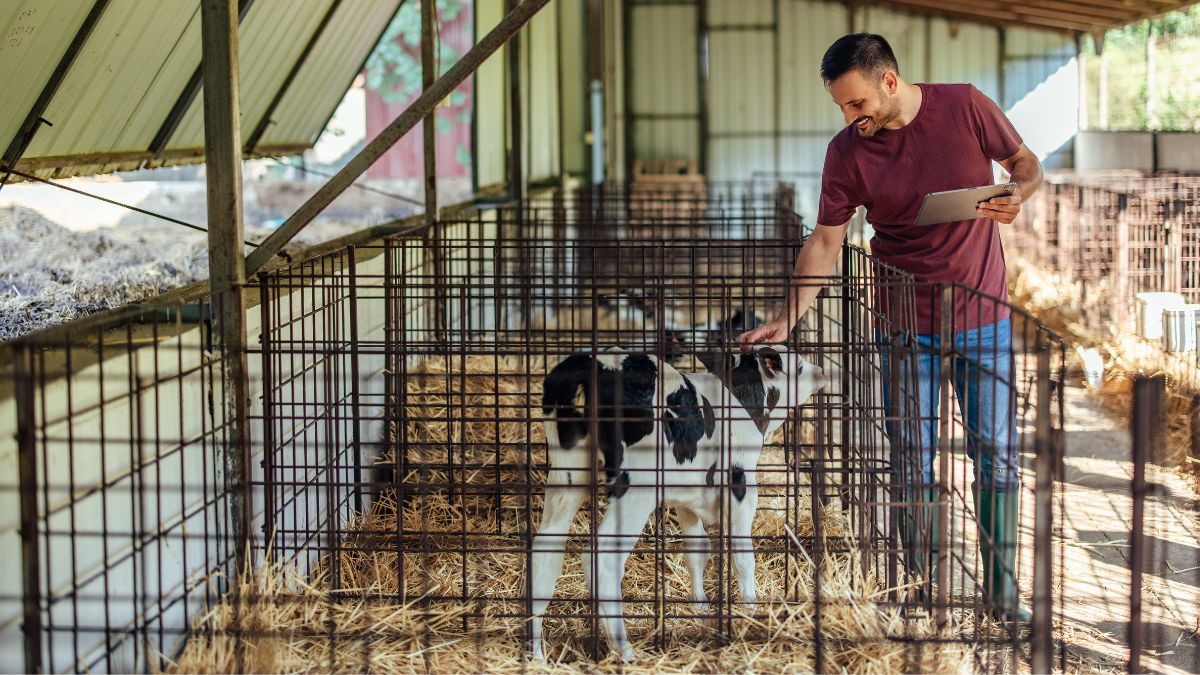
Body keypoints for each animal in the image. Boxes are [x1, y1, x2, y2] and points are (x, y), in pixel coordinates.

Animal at [532, 343, 825, 658]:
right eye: (798, 367)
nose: (821, 370)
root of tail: (592, 363)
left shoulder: (688, 497)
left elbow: (697, 551)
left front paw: (700, 606)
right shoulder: (740, 483)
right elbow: (742, 554)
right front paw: (749, 609)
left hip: (567, 476)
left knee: (544, 554)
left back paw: (536, 654)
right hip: (635, 488)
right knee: (602, 559)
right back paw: (625, 653)